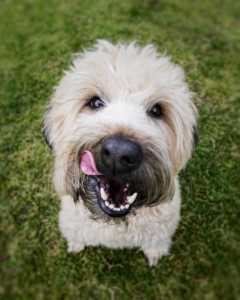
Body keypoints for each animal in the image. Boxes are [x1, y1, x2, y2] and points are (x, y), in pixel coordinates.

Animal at [42, 39, 197, 264]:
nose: (118, 154)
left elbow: (155, 244)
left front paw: (154, 255)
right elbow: (76, 236)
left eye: (157, 110)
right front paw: (75, 246)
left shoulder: (160, 231)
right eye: (95, 102)